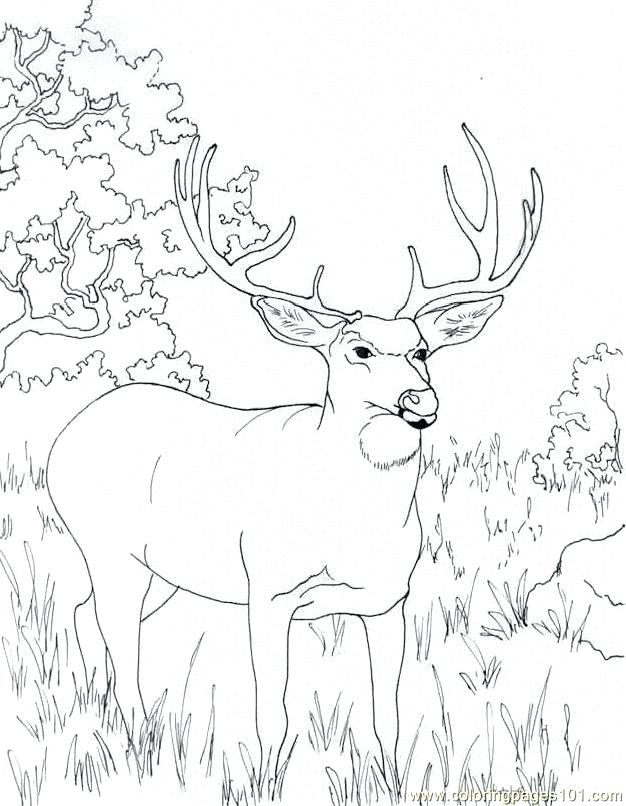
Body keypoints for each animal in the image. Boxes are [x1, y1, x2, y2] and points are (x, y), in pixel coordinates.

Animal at [47, 124, 543, 782]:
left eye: (422, 350)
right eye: (357, 350)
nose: (421, 400)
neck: (348, 529)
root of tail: (66, 434)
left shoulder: (389, 601)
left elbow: (388, 713)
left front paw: (390, 780)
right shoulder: (269, 591)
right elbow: (273, 715)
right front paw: (264, 781)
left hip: (165, 570)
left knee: (86, 616)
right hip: (107, 546)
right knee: (117, 637)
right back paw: (134, 741)